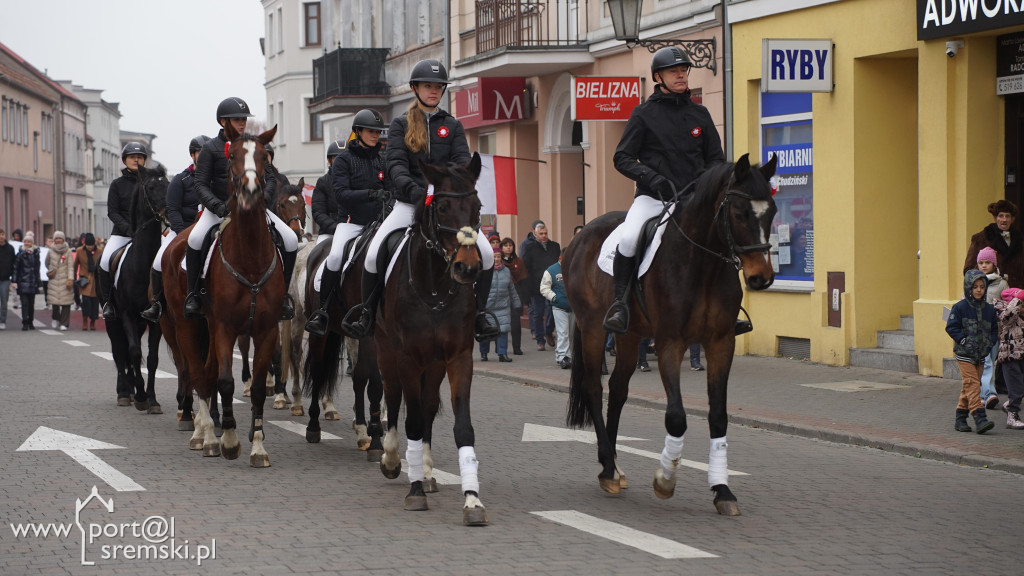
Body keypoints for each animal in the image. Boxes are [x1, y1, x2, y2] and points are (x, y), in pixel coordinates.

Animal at [101, 163, 167, 409]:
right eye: (150, 187)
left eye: (168, 184)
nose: (167, 211)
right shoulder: (127, 314)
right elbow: (134, 353)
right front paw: (140, 396)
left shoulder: (155, 319)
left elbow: (152, 358)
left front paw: (152, 399)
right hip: (113, 320)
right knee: (120, 353)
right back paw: (124, 392)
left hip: (139, 322)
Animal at [378, 152, 489, 524]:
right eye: (441, 206)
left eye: (477, 205)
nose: (467, 268)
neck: (435, 288)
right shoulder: (407, 358)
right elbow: (410, 419)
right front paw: (413, 491)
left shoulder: (458, 358)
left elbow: (462, 427)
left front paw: (472, 499)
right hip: (385, 351)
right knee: (393, 397)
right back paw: (393, 459)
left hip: (435, 364)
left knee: (426, 406)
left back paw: (425, 472)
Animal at [561, 152, 774, 516]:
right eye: (739, 212)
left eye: (771, 210)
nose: (762, 277)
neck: (702, 264)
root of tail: (579, 237)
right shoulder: (669, 343)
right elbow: (676, 416)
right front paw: (665, 479)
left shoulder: (720, 343)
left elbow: (719, 415)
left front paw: (722, 489)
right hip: (592, 330)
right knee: (594, 388)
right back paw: (607, 468)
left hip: (629, 336)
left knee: (618, 390)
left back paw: (614, 467)